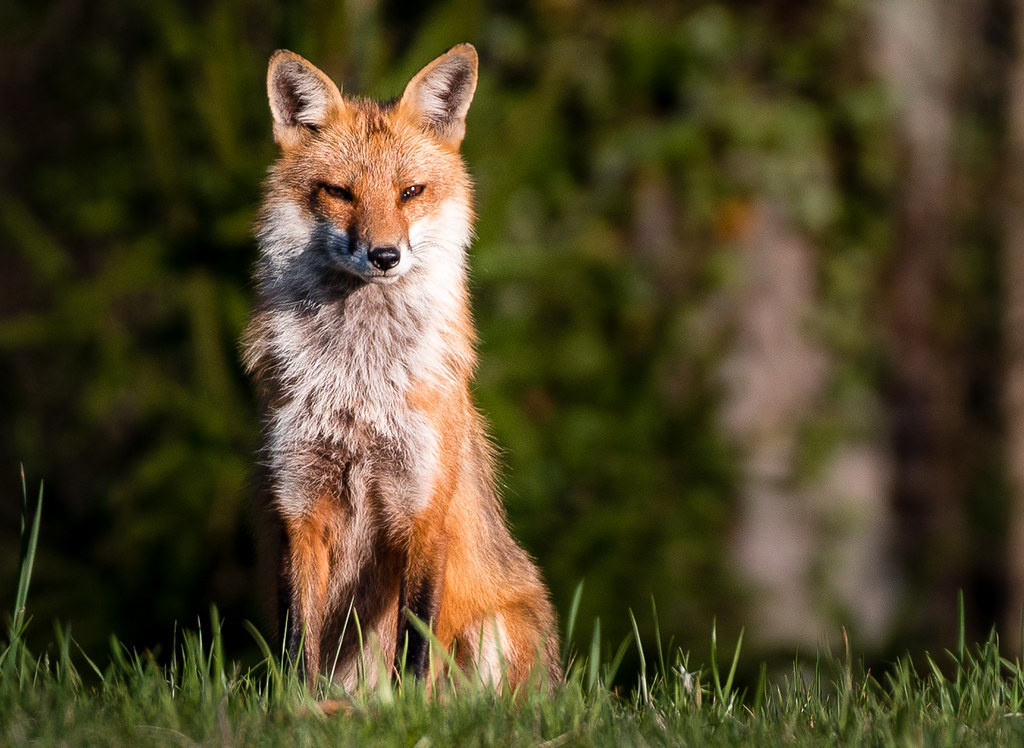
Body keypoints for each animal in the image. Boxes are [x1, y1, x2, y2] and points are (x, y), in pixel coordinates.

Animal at [242, 43, 561, 692]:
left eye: (411, 191)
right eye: (339, 192)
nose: (384, 255)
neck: (359, 387)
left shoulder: (423, 509)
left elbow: (413, 645)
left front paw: (406, 706)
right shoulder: (298, 505)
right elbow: (296, 641)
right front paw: (300, 704)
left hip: (495, 630)